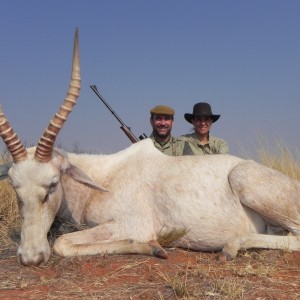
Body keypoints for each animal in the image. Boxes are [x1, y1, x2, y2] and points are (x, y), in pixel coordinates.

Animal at [0, 29, 300, 266]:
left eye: (52, 184)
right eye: (14, 186)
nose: (30, 257)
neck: (102, 178)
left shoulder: (131, 223)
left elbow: (61, 243)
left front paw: (154, 247)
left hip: (243, 180)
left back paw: (230, 248)